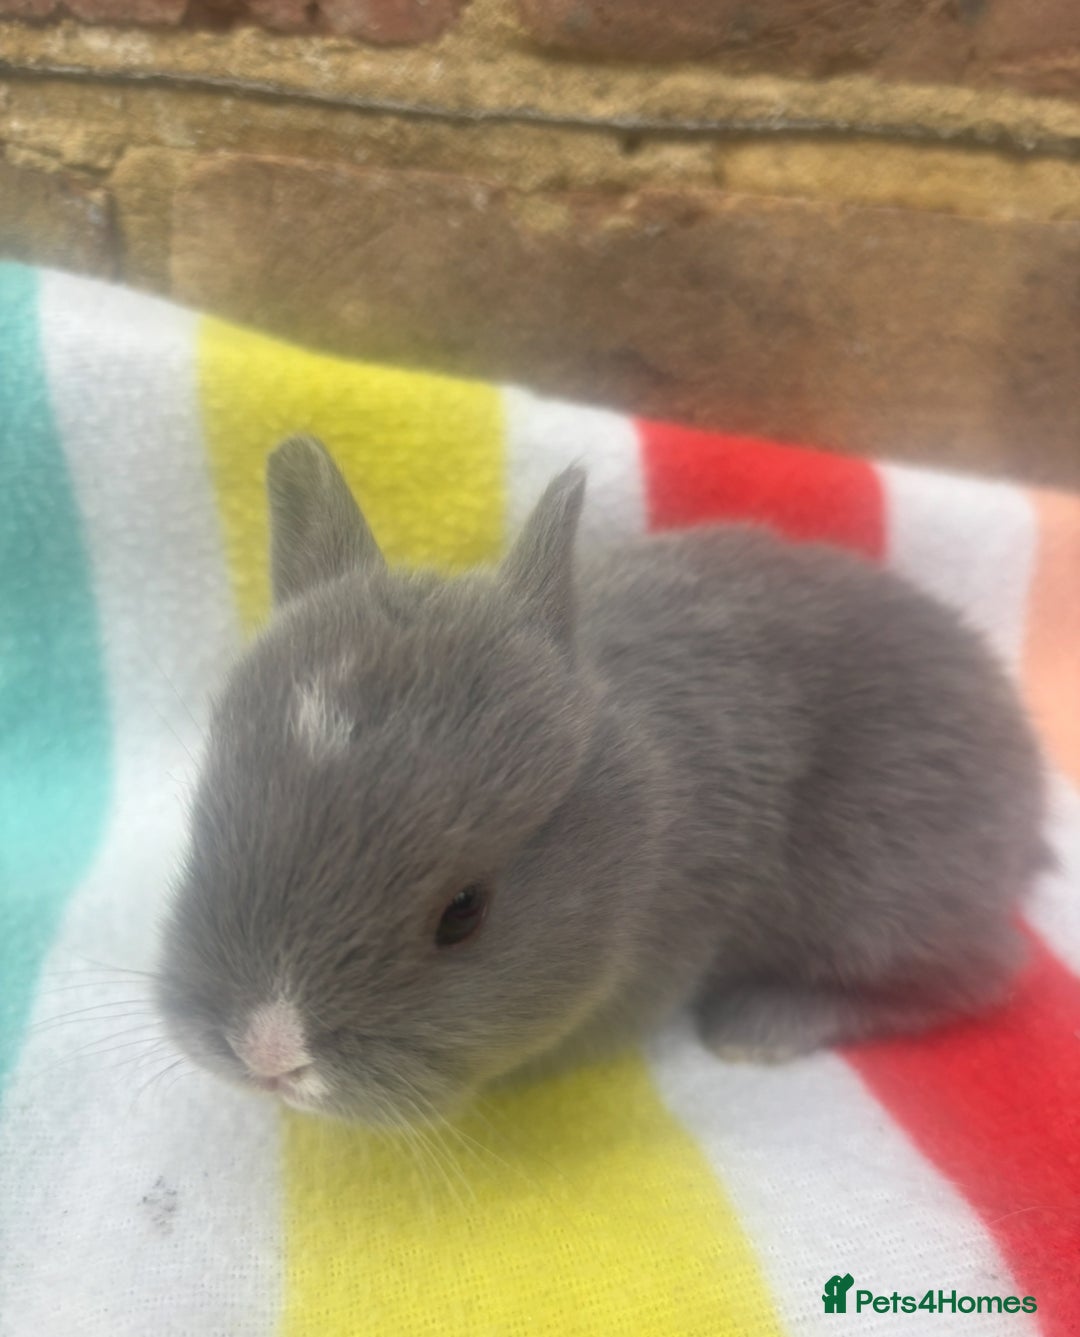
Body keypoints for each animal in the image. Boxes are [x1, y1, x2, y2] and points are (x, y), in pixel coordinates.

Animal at [156, 435, 1046, 1125]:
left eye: (464, 912)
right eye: (205, 831)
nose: (268, 1053)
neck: (638, 816)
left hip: (880, 894)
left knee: (981, 974)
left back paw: (757, 1025)